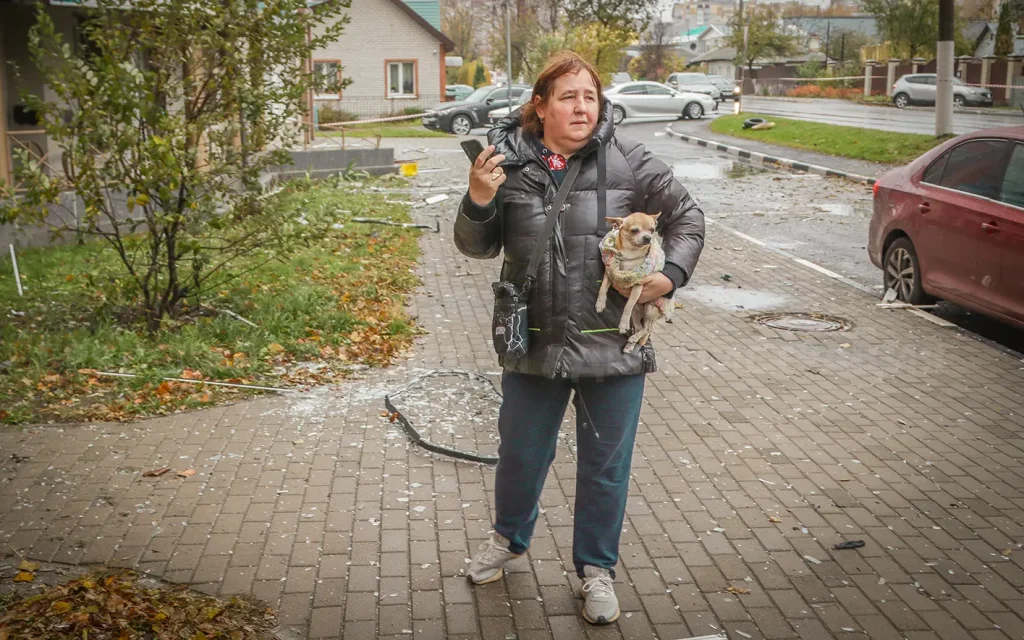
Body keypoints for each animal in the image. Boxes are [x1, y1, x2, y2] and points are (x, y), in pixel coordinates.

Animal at [593, 210, 671, 352]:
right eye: (634, 230)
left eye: (652, 230)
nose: (648, 238)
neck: (630, 255)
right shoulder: (610, 273)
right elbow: (602, 288)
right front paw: (600, 303)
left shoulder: (638, 285)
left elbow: (627, 306)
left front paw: (623, 324)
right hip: (637, 311)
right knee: (640, 327)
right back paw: (630, 344)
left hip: (650, 308)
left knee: (647, 328)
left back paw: (634, 338)